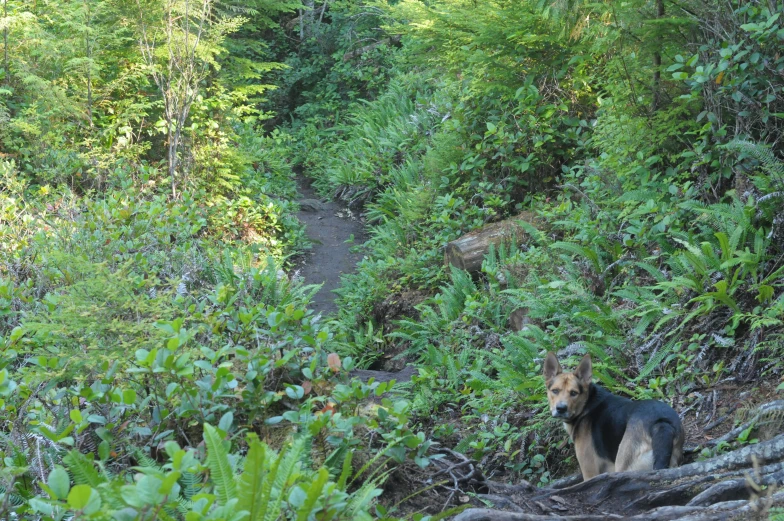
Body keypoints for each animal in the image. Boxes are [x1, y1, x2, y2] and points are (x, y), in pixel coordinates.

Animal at [544, 352, 684, 482]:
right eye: (555, 391)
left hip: (624, 464)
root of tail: (661, 422)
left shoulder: (589, 471)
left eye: (574, 393)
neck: (587, 404)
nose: (561, 408)